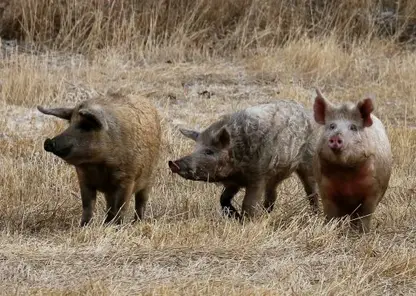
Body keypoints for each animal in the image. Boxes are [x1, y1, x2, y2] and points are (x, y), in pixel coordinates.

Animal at [37, 93, 161, 225]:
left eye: (86, 126)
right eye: (70, 124)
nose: (48, 142)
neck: (98, 164)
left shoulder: (127, 178)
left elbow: (121, 206)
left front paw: (117, 226)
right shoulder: (83, 179)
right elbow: (87, 205)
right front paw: (84, 225)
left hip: (150, 179)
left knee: (140, 202)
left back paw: (136, 222)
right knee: (110, 206)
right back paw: (106, 222)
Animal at [167, 100, 316, 219]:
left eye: (209, 151)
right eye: (195, 149)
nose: (172, 163)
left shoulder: (258, 177)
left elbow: (248, 204)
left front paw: (245, 221)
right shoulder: (233, 182)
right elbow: (223, 199)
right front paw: (236, 217)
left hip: (308, 160)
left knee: (311, 189)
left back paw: (316, 214)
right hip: (274, 177)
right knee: (273, 195)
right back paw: (265, 214)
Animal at [314, 89, 392, 232]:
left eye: (353, 127)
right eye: (332, 126)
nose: (336, 137)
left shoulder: (374, 190)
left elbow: (366, 214)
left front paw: (362, 233)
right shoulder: (324, 187)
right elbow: (330, 214)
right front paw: (332, 229)